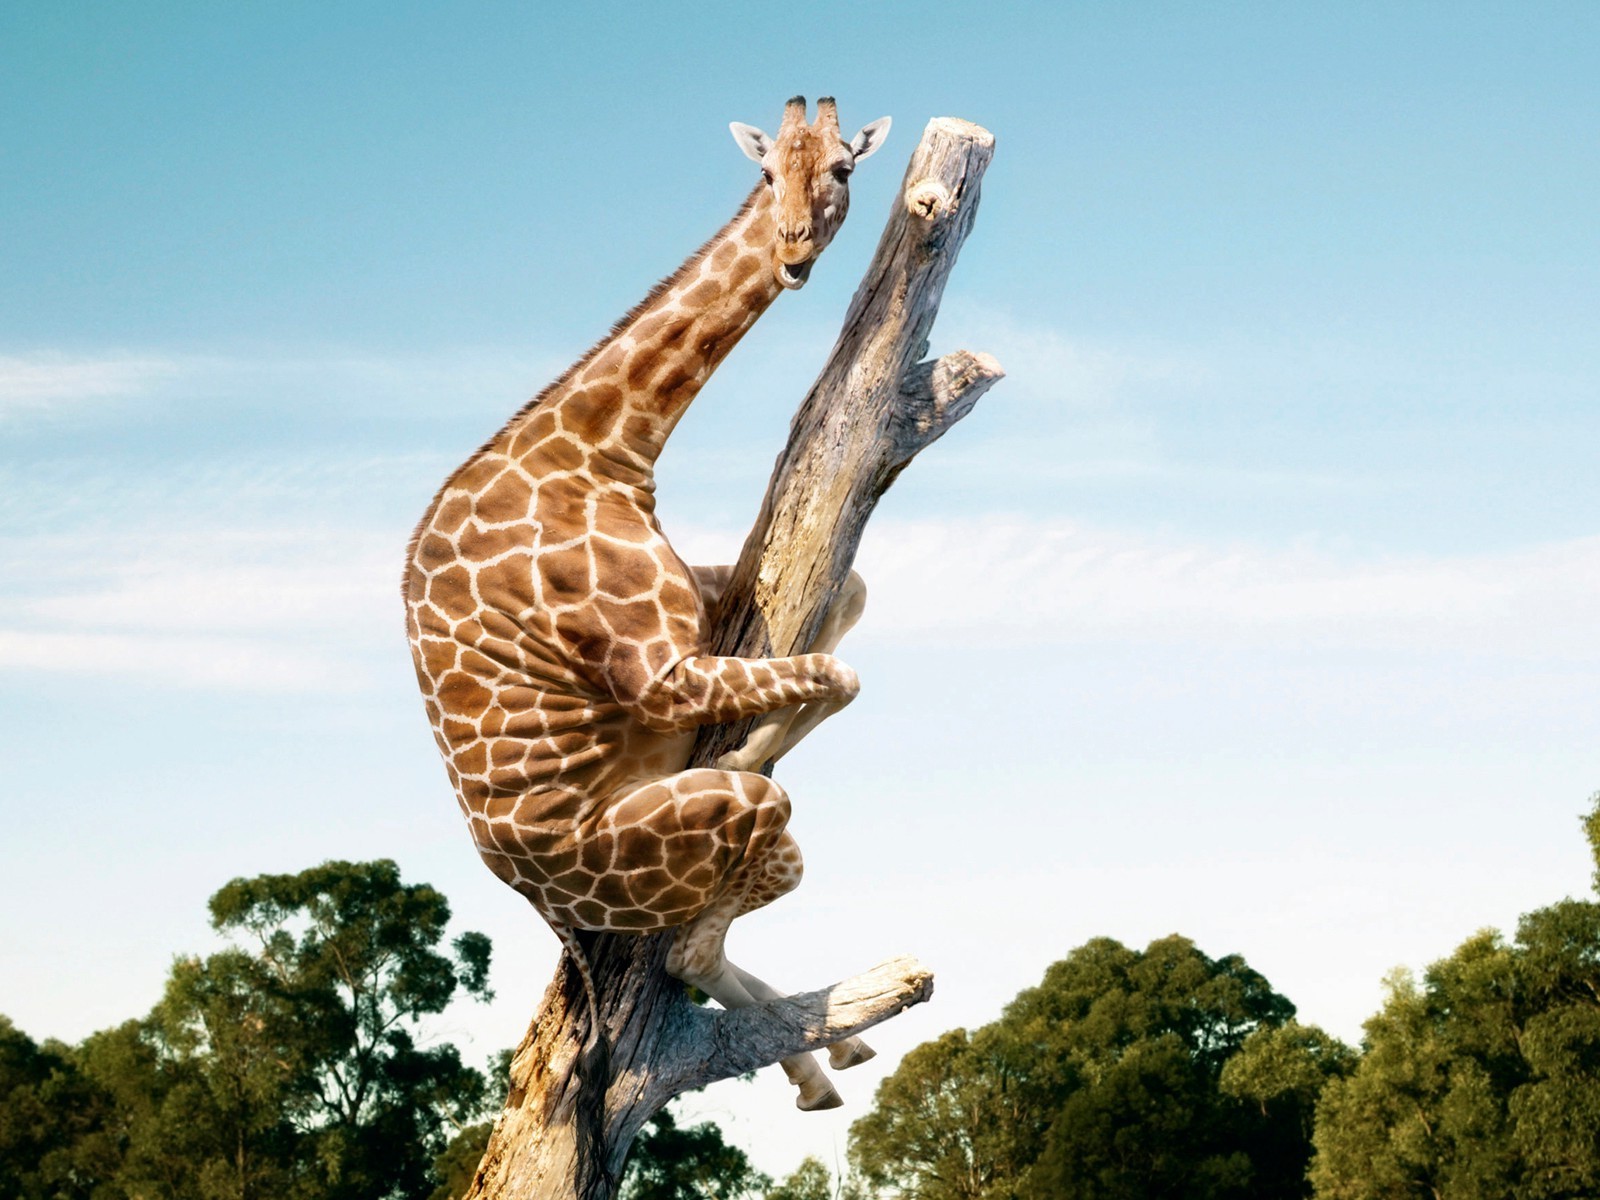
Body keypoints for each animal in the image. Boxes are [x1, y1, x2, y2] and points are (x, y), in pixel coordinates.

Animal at [403, 98, 889, 1113]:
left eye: (842, 168)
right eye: (767, 175)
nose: (792, 252)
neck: (602, 447)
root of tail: (544, 902)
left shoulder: (706, 611)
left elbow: (851, 605)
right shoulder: (661, 675)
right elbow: (839, 673)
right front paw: (747, 741)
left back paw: (831, 1062)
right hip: (708, 834)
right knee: (696, 943)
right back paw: (819, 1065)